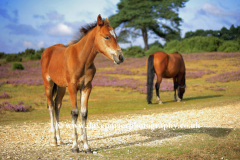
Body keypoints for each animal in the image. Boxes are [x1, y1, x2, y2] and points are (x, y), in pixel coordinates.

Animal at [40, 14, 124, 152]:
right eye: (107, 37)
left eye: (116, 36)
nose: (120, 57)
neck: (81, 59)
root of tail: (47, 50)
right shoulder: (72, 87)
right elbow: (74, 112)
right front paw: (75, 146)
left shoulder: (87, 87)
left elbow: (84, 113)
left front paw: (86, 146)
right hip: (48, 84)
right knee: (51, 106)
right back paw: (54, 140)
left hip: (61, 87)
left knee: (57, 106)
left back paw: (60, 139)